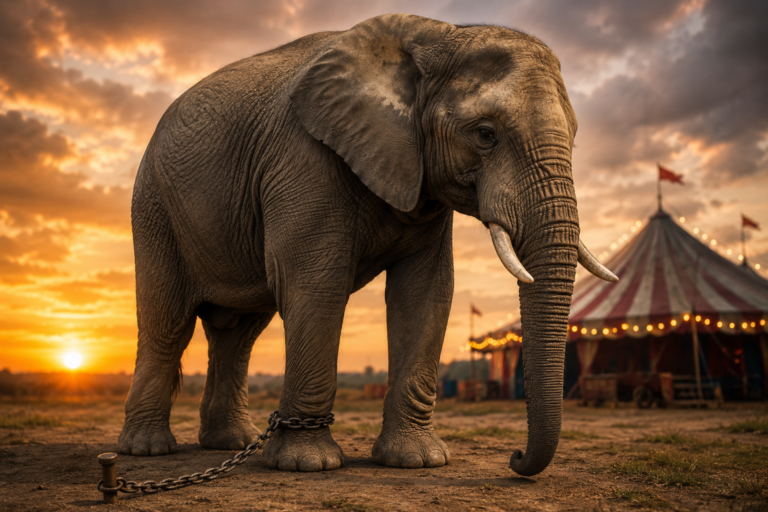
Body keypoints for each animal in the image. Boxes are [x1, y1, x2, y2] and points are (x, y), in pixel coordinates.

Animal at [118, 13, 617, 477]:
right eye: (485, 134)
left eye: (573, 140)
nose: (514, 458)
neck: (439, 33)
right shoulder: (302, 157)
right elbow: (316, 284)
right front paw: (309, 465)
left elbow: (426, 292)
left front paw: (416, 461)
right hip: (154, 206)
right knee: (168, 322)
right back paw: (147, 450)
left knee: (239, 333)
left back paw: (230, 443)